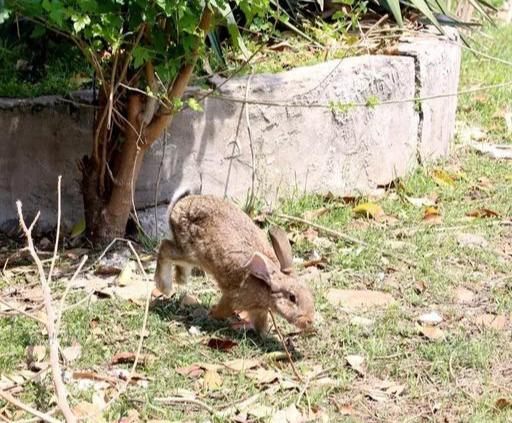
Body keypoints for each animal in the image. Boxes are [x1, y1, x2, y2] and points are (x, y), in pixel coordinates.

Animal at [152, 191, 314, 334]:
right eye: (292, 298)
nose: (309, 321)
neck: (266, 285)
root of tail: (179, 206)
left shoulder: (258, 310)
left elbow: (260, 325)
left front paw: (265, 335)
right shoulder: (234, 298)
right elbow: (222, 310)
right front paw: (211, 314)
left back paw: (181, 279)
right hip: (191, 251)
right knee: (165, 248)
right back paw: (165, 286)